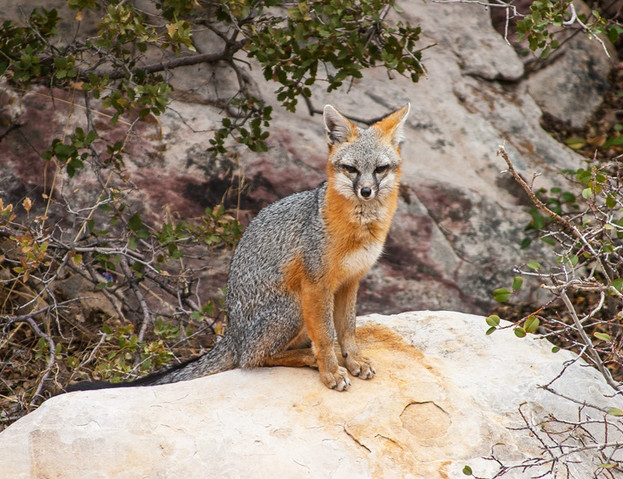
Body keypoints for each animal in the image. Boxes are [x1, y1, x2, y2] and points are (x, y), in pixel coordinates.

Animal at [67, 104, 410, 394]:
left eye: (380, 169)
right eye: (351, 169)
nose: (365, 191)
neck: (358, 230)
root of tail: (231, 333)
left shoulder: (350, 281)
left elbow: (348, 329)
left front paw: (353, 360)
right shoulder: (317, 285)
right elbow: (326, 336)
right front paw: (331, 372)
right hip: (294, 305)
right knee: (252, 358)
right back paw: (307, 358)